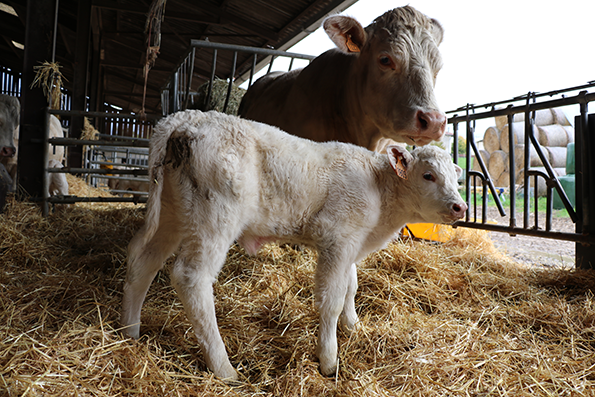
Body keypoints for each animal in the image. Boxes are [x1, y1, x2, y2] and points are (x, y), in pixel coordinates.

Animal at [120, 110, 466, 378]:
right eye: (428, 175)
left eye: (456, 179)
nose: (460, 207)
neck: (379, 191)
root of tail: (186, 119)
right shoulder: (337, 239)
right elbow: (331, 300)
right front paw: (329, 360)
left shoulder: (352, 244)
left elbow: (351, 286)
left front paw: (353, 325)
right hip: (215, 218)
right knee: (190, 277)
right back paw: (224, 368)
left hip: (172, 214)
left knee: (144, 261)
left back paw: (129, 333)